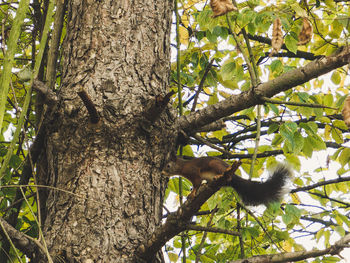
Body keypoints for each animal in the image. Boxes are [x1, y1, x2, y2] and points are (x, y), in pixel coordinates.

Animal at [163, 157, 292, 206]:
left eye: (168, 166)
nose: (162, 172)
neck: (182, 167)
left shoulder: (194, 172)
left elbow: (197, 183)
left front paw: (192, 193)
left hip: (215, 165)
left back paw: (218, 176)